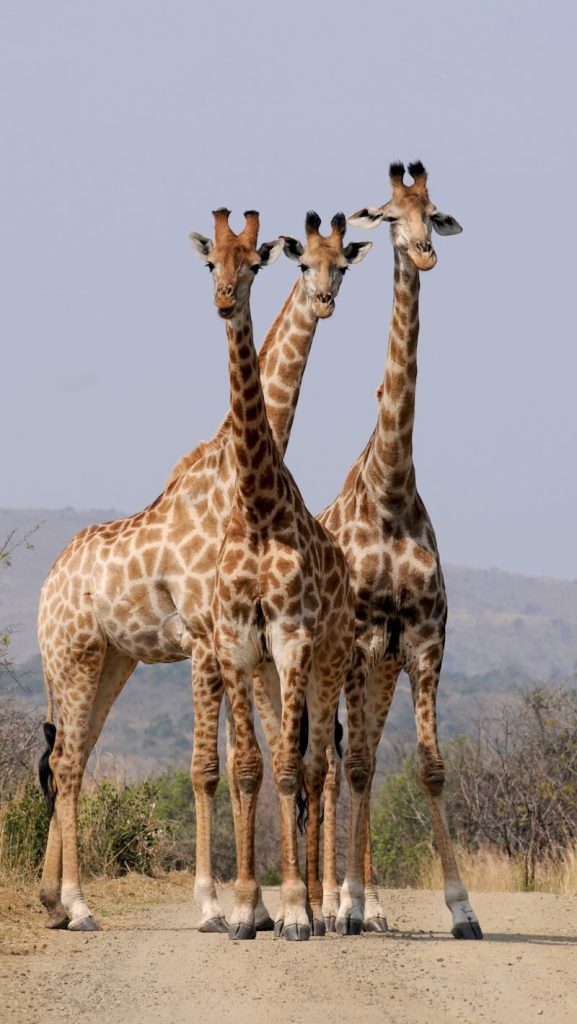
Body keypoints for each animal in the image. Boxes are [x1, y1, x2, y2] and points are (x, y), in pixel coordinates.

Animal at [36, 209, 371, 933]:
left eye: (341, 267)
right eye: (303, 264)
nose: (324, 301)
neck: (235, 480)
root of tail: (47, 586)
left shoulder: (241, 644)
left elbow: (258, 760)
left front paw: (264, 909)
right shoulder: (204, 638)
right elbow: (207, 769)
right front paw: (218, 906)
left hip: (112, 660)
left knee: (72, 754)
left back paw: (52, 898)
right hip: (73, 656)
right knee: (68, 762)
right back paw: (77, 904)